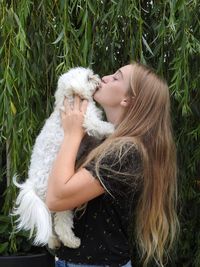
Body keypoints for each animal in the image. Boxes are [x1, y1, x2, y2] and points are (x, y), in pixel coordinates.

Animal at [12, 67, 114, 251]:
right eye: (89, 78)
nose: (98, 78)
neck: (71, 98)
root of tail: (33, 185)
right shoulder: (87, 119)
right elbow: (101, 126)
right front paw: (114, 129)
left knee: (51, 228)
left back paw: (55, 242)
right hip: (61, 198)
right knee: (61, 225)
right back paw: (72, 241)